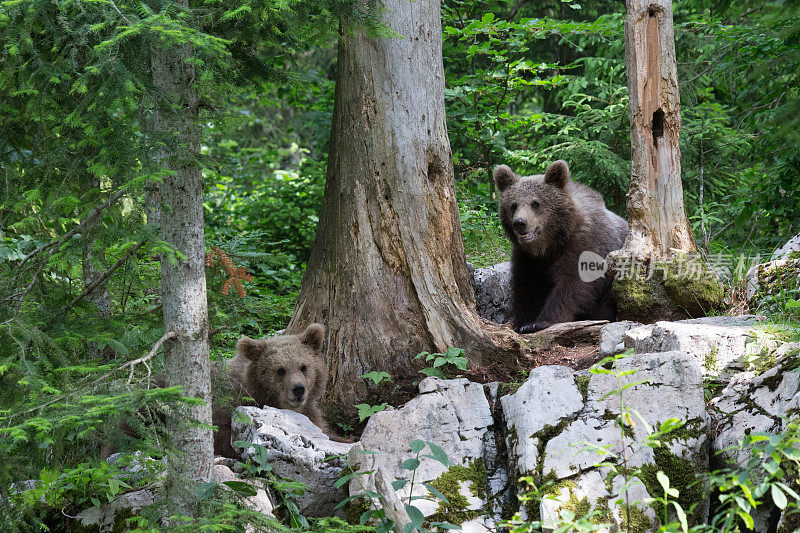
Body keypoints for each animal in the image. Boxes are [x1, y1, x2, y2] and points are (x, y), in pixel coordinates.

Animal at [494, 160, 632, 332]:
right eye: (513, 205)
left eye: (535, 203)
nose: (520, 223)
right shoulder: (527, 258)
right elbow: (526, 286)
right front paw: (524, 323)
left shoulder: (584, 244)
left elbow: (572, 282)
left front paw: (541, 322)